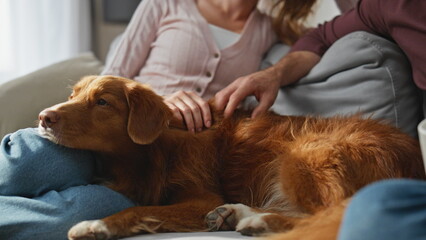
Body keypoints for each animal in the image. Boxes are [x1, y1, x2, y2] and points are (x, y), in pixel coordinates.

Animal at [38, 75, 424, 240]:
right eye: (72, 95)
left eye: (102, 102)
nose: (44, 117)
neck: (151, 150)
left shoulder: (201, 197)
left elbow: (140, 210)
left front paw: (97, 225)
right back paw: (238, 214)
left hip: (306, 154)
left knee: (329, 213)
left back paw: (258, 221)